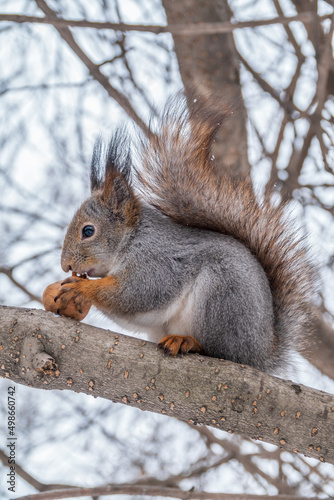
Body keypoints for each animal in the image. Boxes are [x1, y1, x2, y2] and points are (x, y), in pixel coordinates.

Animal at [56, 93, 318, 376]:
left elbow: (136, 294)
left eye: (88, 231)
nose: (65, 265)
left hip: (221, 296)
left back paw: (188, 342)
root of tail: (261, 354)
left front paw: (83, 287)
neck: (131, 239)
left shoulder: (156, 262)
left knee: (220, 351)